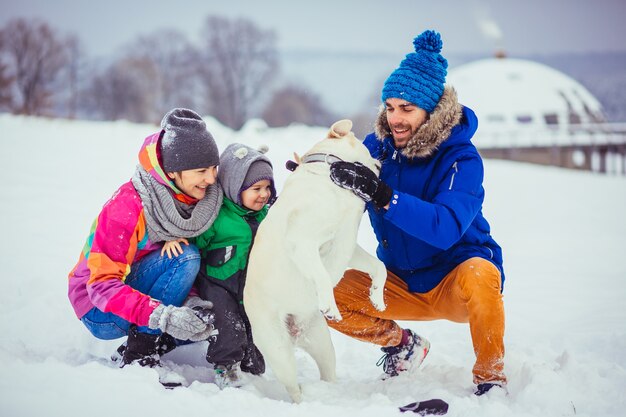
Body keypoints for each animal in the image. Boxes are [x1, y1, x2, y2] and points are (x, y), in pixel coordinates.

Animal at [243, 118, 386, 402]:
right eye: (365, 145)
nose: (381, 158)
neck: (333, 176)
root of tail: (294, 333)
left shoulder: (348, 245)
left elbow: (379, 266)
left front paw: (377, 296)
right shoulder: (303, 241)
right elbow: (320, 274)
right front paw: (330, 305)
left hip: (323, 345)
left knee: (327, 372)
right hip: (280, 352)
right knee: (294, 388)